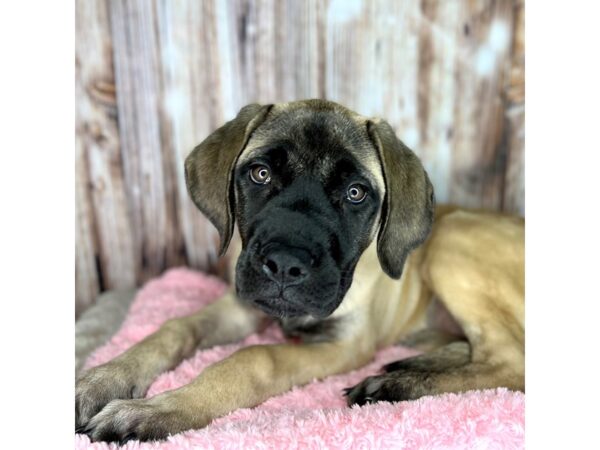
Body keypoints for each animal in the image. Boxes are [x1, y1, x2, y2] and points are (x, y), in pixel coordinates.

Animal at [76, 100, 524, 442]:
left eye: (355, 193)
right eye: (261, 173)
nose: (285, 266)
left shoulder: (343, 344)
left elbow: (256, 358)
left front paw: (157, 410)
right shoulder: (242, 304)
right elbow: (174, 328)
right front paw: (103, 379)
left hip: (451, 238)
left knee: (509, 360)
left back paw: (395, 385)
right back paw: (413, 364)